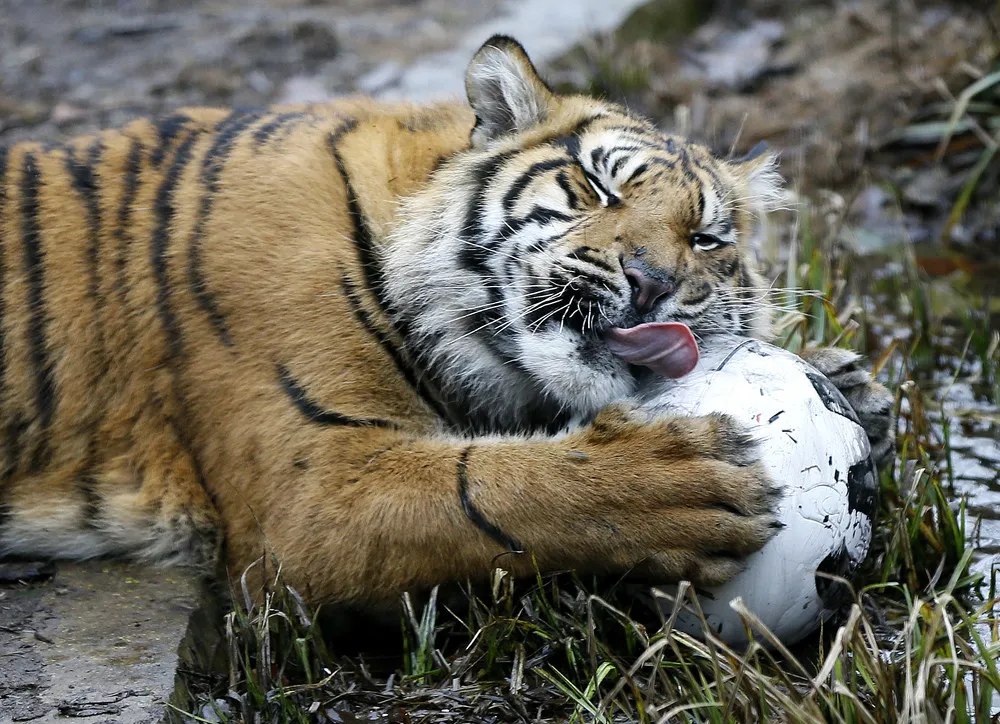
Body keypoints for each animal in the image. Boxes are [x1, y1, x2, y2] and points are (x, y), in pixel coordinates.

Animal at [0, 38, 892, 604]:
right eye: (599, 188)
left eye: (705, 238)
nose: (652, 283)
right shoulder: (310, 491)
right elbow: (485, 487)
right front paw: (677, 484)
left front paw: (853, 388)